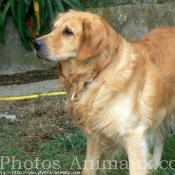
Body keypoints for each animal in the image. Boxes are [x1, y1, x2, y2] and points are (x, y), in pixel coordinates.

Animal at [34, 10, 175, 174]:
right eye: (54, 28)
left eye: (68, 32)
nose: (35, 44)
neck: (98, 73)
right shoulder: (94, 135)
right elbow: (88, 169)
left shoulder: (134, 136)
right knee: (160, 136)